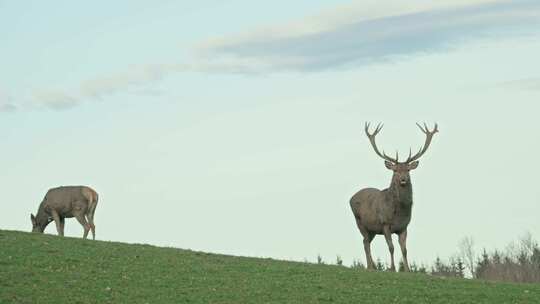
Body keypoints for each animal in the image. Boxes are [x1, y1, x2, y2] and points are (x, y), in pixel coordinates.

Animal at [350, 123, 438, 270]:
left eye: (408, 170)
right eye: (395, 170)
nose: (403, 179)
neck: (399, 212)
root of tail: (351, 198)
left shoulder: (404, 227)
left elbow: (404, 249)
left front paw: (408, 270)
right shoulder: (385, 223)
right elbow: (391, 247)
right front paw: (392, 268)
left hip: (372, 229)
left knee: (365, 242)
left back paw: (371, 266)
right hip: (359, 222)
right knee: (366, 242)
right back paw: (371, 267)